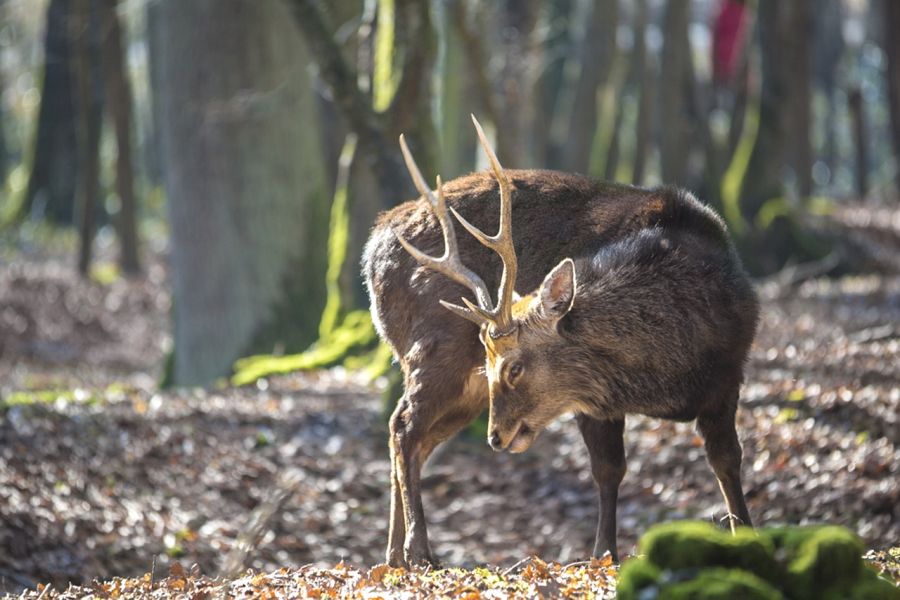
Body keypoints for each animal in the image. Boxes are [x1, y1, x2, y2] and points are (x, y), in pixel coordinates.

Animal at [362, 116, 756, 568]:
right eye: (491, 362)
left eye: (513, 367)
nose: (495, 438)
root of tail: (371, 252)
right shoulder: (594, 400)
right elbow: (609, 469)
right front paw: (604, 555)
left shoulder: (729, 375)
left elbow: (727, 460)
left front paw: (747, 533)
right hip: (434, 351)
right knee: (404, 427)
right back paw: (418, 551)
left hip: (460, 385)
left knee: (415, 437)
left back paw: (393, 555)